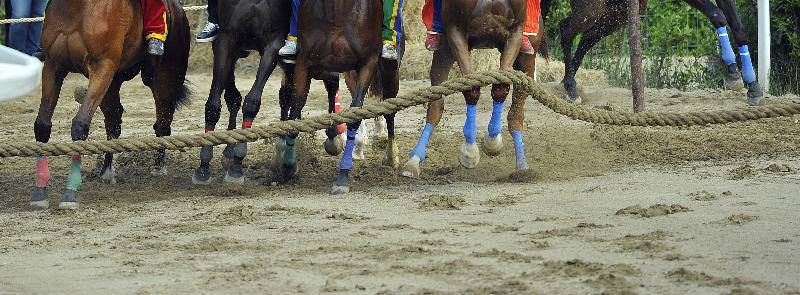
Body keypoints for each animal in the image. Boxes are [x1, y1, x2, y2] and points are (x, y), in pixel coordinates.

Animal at [31, 0, 191, 210]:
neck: (77, 7)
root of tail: (178, 10)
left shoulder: (102, 66)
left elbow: (80, 126)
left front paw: (70, 193)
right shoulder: (53, 65)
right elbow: (42, 125)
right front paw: (40, 191)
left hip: (165, 78)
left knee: (163, 123)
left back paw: (158, 166)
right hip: (112, 82)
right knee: (114, 122)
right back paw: (107, 171)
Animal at [192, 0, 348, 185]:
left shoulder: (273, 45)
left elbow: (251, 103)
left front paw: (237, 165)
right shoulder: (225, 42)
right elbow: (216, 104)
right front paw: (205, 166)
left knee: (331, 80)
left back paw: (332, 136)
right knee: (287, 96)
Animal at [284, 0, 404, 195]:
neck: (337, 12)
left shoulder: (368, 64)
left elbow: (354, 115)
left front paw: (342, 176)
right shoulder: (304, 63)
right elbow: (294, 113)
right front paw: (288, 165)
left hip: (389, 71)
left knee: (389, 111)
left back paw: (391, 157)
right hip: (347, 73)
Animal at [400, 0, 544, 179]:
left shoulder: (515, 31)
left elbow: (501, 88)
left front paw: (492, 142)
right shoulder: (455, 29)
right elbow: (471, 90)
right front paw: (470, 150)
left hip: (527, 57)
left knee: (517, 112)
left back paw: (522, 164)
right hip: (445, 49)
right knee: (435, 107)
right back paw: (413, 160)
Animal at [548, 0, 764, 106]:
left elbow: (739, 28)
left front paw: (752, 86)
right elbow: (717, 15)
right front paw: (733, 71)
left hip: (617, 13)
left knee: (586, 38)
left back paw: (567, 82)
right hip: (591, 8)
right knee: (566, 29)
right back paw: (571, 87)